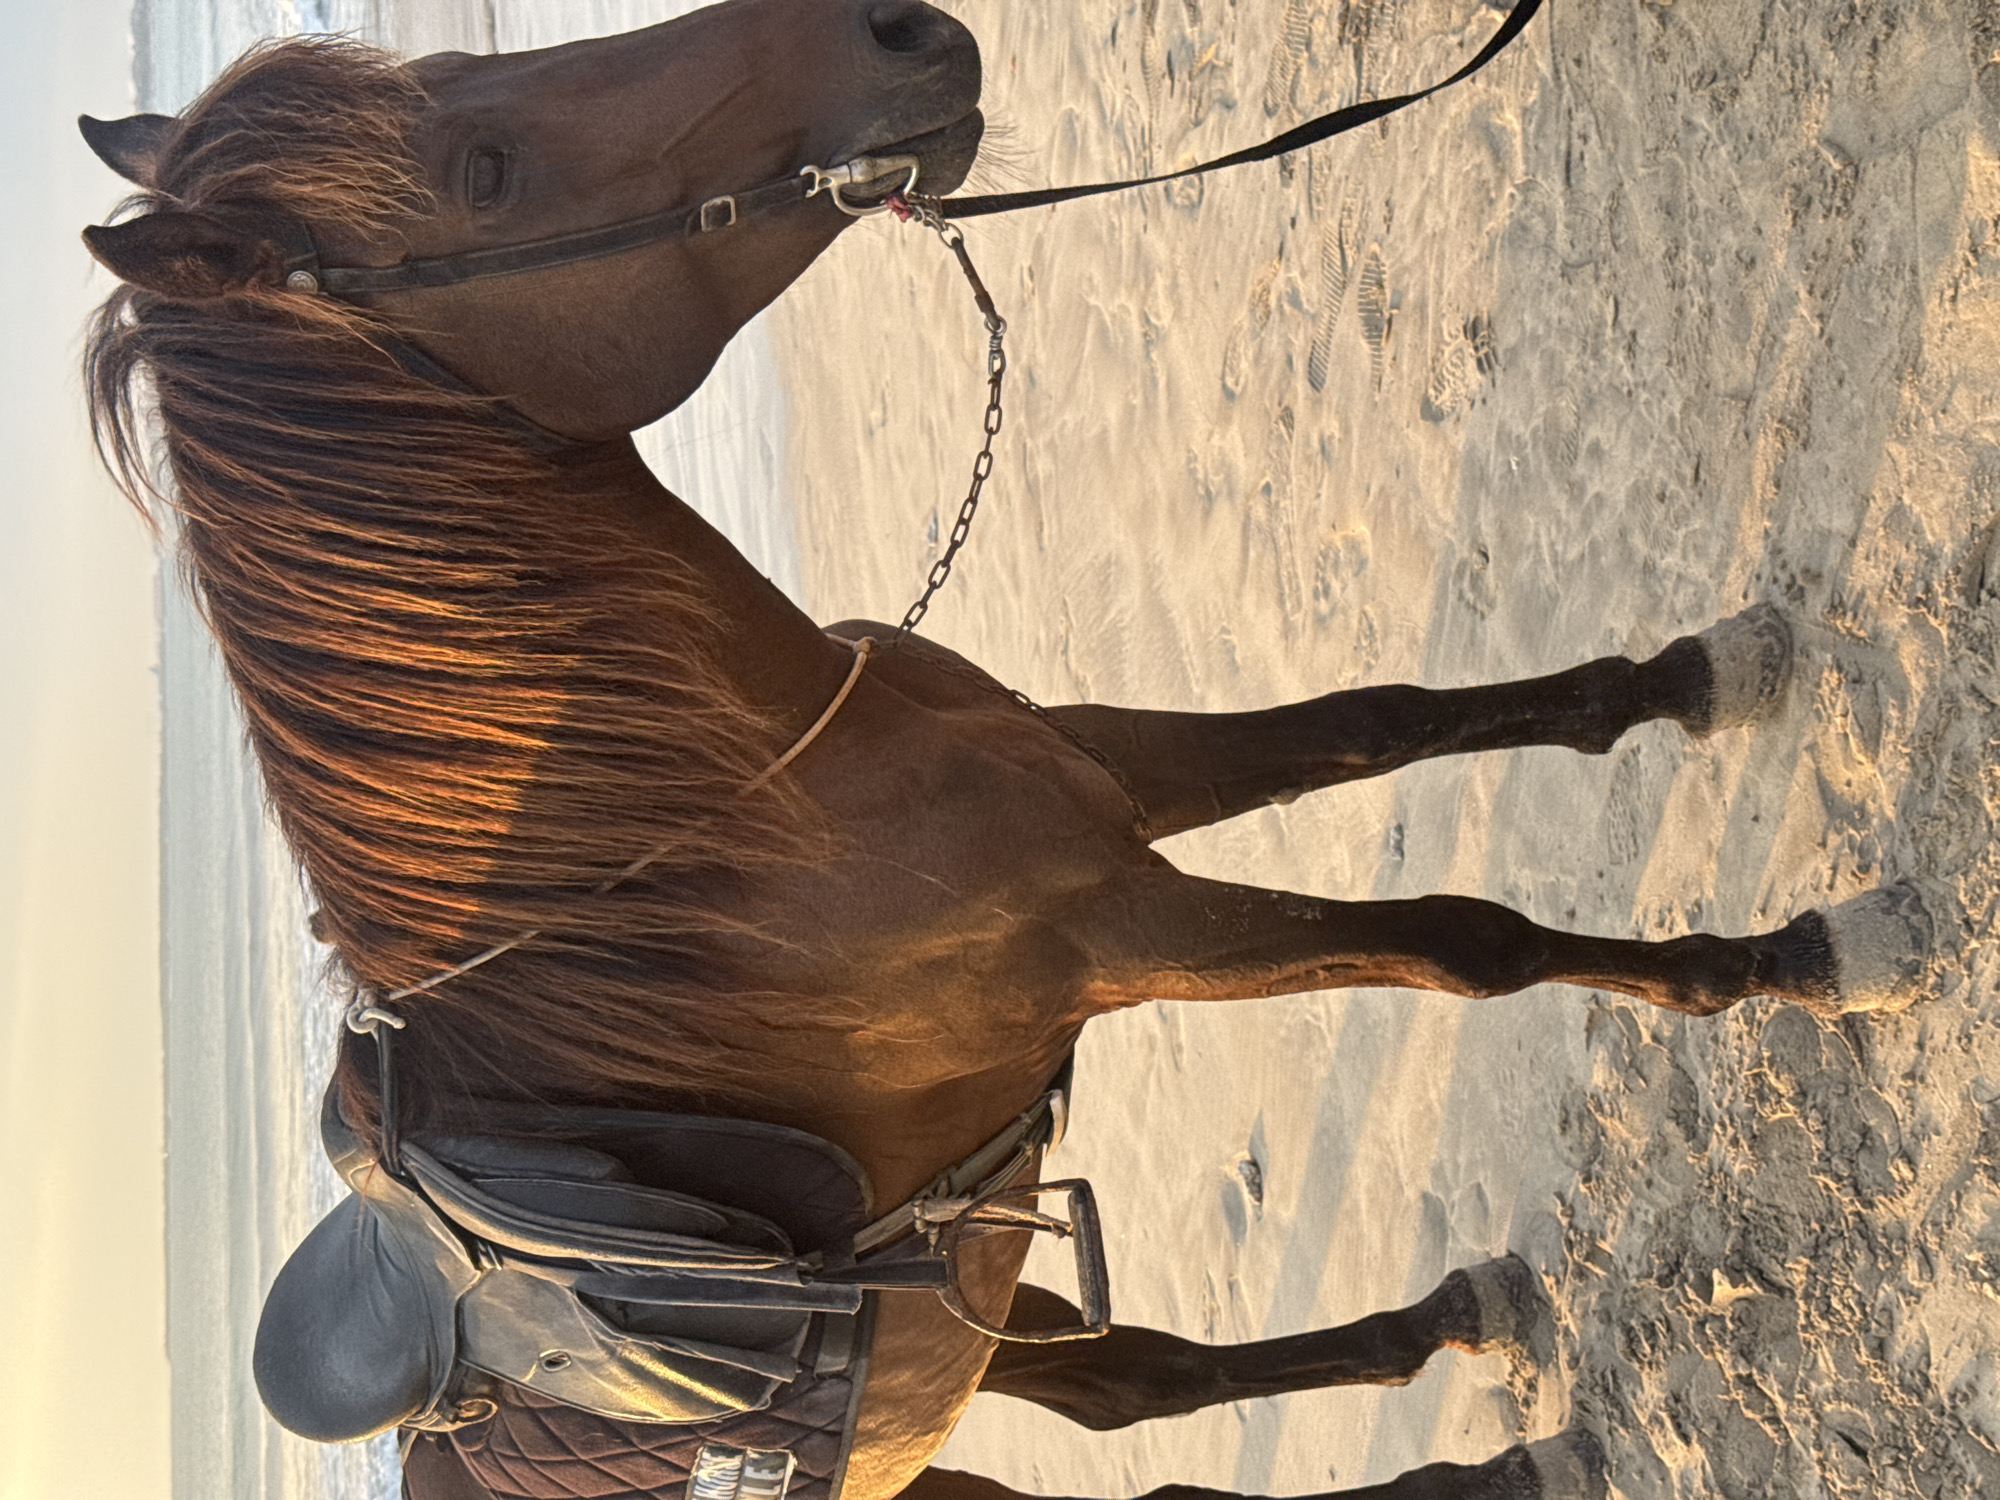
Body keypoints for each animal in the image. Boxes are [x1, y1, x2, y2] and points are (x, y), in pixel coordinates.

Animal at [77, 5, 1930, 1498]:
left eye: (459, 94)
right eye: (484, 167)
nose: (901, 29)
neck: (747, 823)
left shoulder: (1099, 777)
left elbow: (1381, 721)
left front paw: (1688, 676)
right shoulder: (1123, 931)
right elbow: (1465, 944)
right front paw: (1788, 960)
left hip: (971, 1310)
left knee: (1131, 1386)